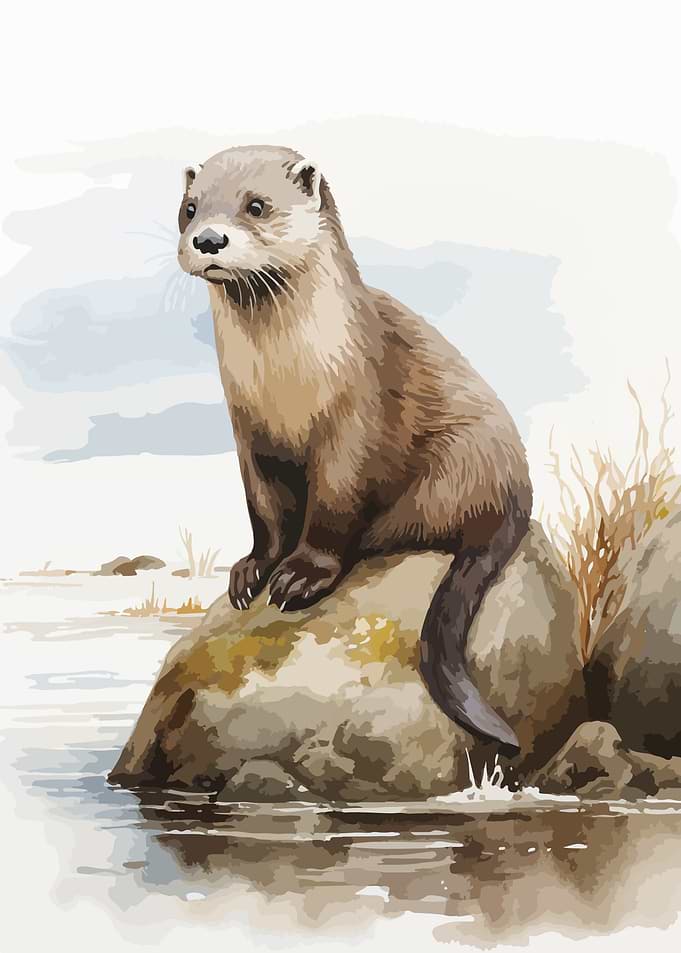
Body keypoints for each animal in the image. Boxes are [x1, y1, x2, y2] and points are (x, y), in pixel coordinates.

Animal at [177, 145, 532, 753]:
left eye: (256, 205)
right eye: (190, 207)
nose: (208, 239)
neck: (286, 388)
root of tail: (515, 489)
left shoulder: (353, 427)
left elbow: (333, 509)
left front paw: (299, 576)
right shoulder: (248, 437)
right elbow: (264, 511)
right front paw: (253, 569)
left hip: (459, 463)